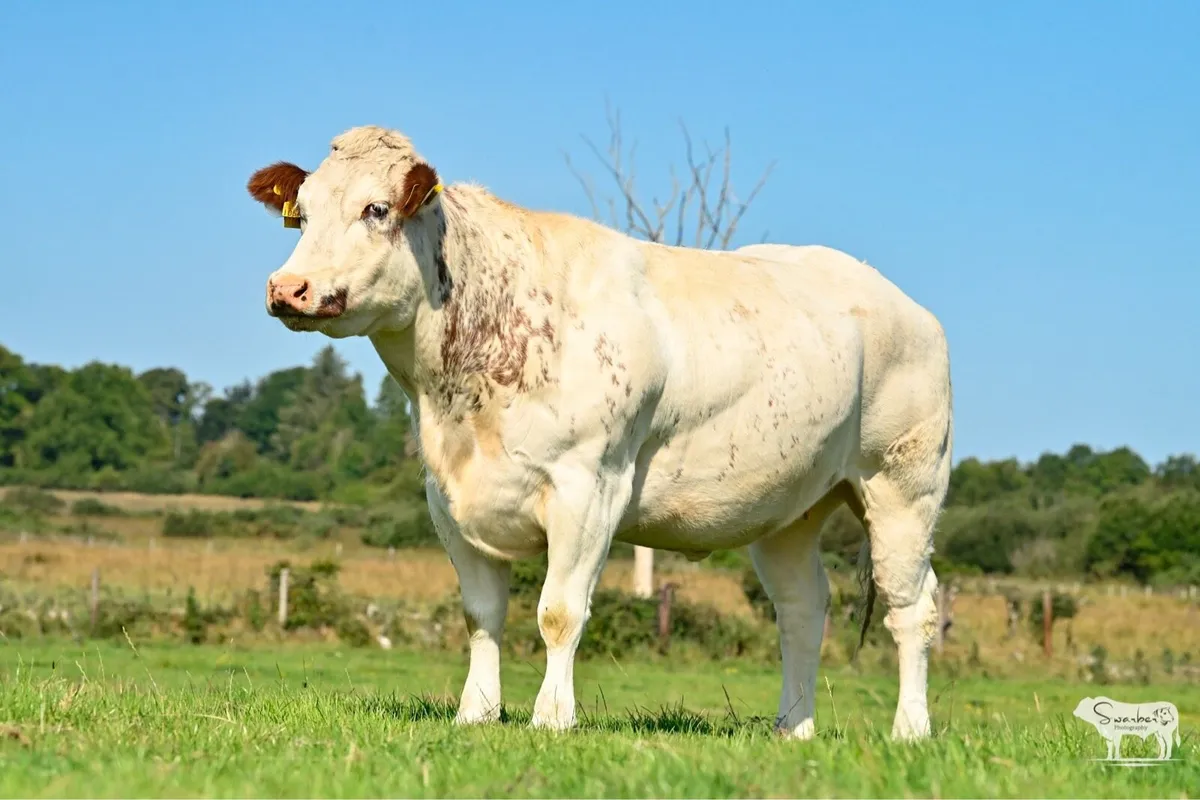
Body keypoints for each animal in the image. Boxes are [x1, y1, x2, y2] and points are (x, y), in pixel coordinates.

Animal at [244, 125, 954, 741]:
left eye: (377, 208)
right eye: (302, 215)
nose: (288, 287)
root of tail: (904, 303)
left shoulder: (588, 485)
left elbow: (559, 611)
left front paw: (552, 718)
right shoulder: (446, 498)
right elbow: (481, 614)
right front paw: (476, 714)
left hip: (902, 484)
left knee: (912, 608)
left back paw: (909, 730)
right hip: (790, 507)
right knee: (804, 610)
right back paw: (793, 728)